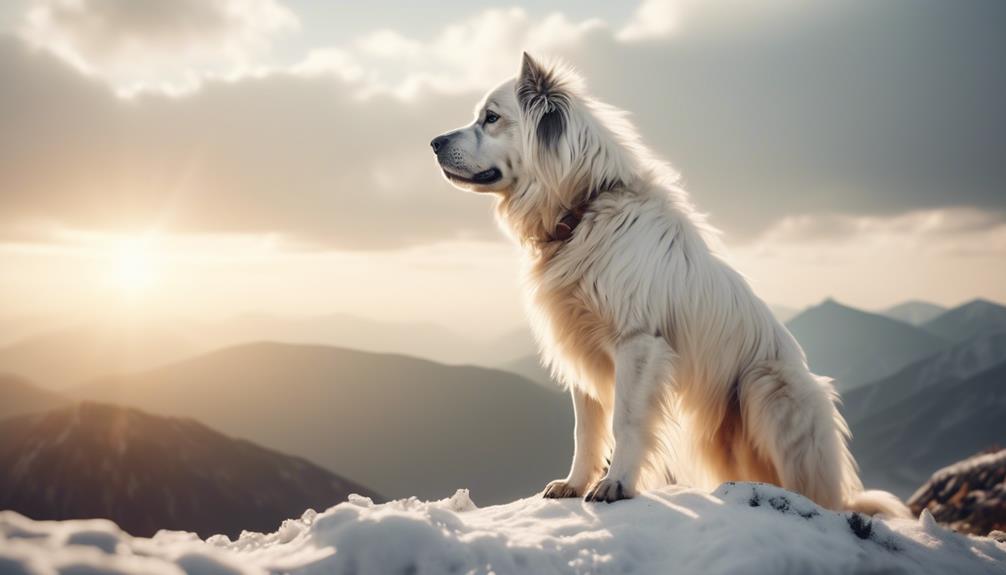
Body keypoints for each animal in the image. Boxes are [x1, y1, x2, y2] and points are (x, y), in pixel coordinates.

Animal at [428, 51, 909, 514]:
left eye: (491, 117)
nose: (433, 143)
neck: (585, 210)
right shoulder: (581, 350)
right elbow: (586, 430)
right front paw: (574, 483)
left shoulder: (637, 342)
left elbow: (624, 422)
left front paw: (615, 484)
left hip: (768, 386)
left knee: (814, 491)